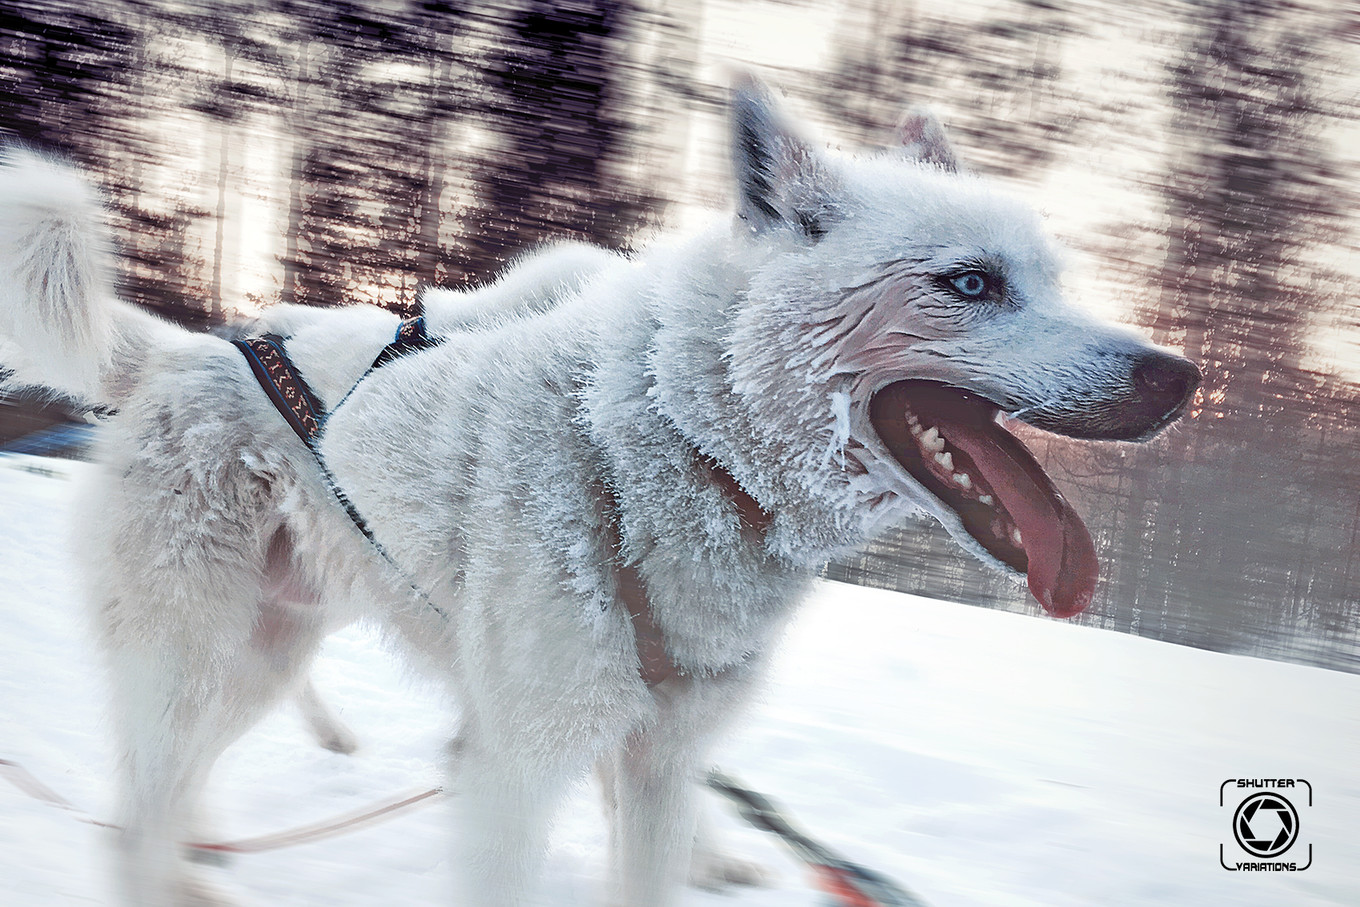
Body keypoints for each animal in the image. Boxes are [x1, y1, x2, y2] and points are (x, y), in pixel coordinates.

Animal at [0, 79, 1191, 907]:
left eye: (1053, 280)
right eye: (970, 283)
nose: (1178, 377)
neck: (656, 446)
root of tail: (184, 348)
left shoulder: (659, 767)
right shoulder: (515, 770)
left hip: (260, 656)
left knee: (165, 792)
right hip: (194, 656)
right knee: (140, 807)